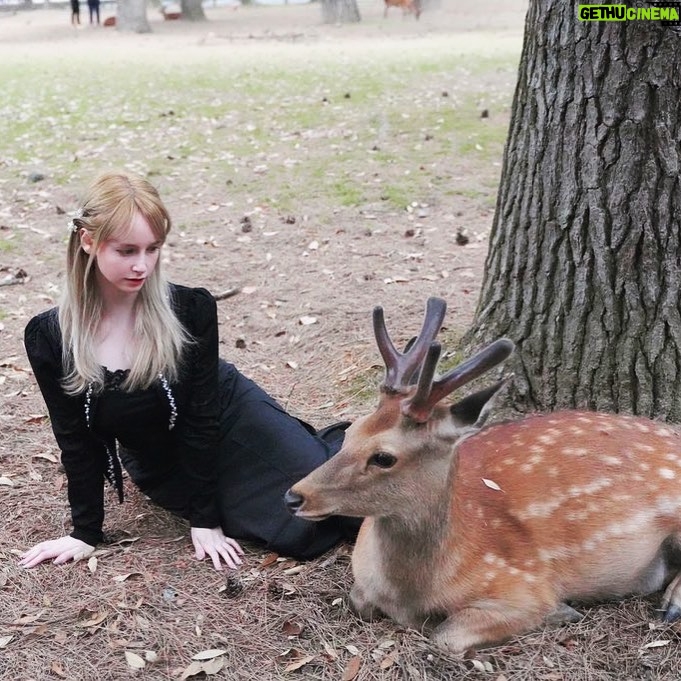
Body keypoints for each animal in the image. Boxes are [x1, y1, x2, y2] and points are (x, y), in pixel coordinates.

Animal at [285, 297, 681, 653]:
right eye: (349, 432)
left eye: (384, 457)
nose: (294, 495)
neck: (410, 595)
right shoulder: (363, 585)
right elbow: (357, 600)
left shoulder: (522, 585)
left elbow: (445, 636)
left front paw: (560, 612)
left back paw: (670, 603)